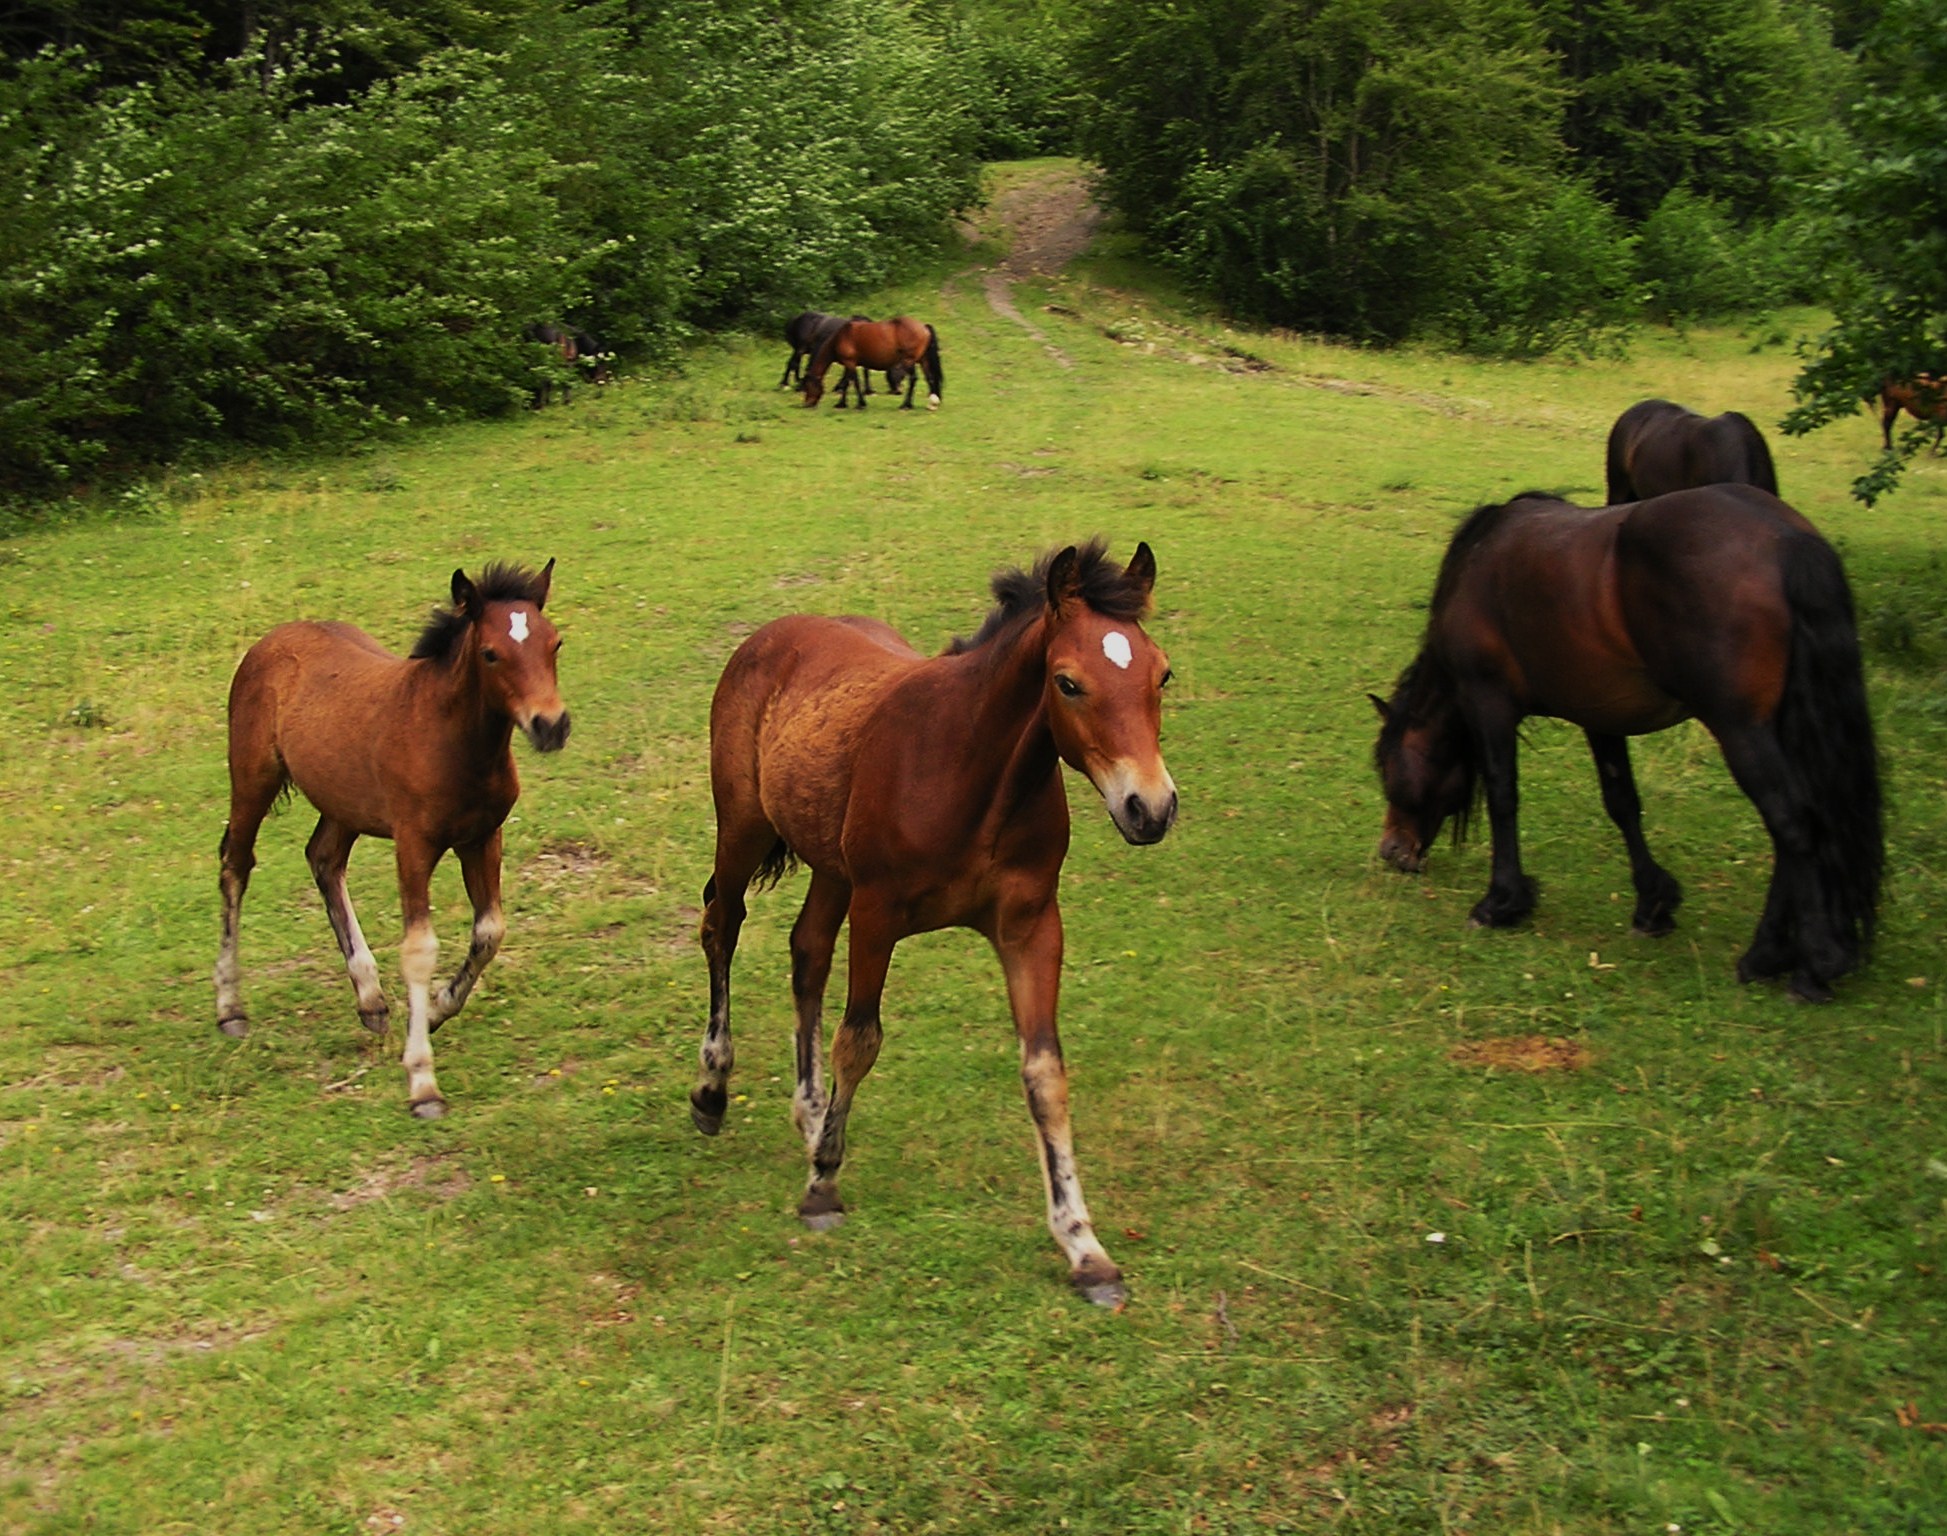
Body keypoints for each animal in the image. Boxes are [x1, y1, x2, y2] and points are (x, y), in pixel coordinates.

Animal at [215, 562, 571, 1116]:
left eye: (555, 643)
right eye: (491, 654)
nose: (551, 725)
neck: (453, 742)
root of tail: (271, 639)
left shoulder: (482, 837)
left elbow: (490, 930)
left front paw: (439, 1009)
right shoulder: (414, 845)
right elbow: (419, 948)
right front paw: (423, 1082)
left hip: (344, 802)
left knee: (323, 858)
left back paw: (371, 999)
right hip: (253, 778)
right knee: (235, 863)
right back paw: (231, 1008)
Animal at [692, 541, 1177, 1304]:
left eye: (1162, 674)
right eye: (1067, 683)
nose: (1149, 809)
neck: (973, 776)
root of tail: (772, 634)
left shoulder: (1031, 925)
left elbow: (1045, 1072)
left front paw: (1084, 1246)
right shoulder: (877, 912)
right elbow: (858, 1041)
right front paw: (823, 1188)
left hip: (830, 867)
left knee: (806, 952)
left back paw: (810, 1114)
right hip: (743, 828)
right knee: (722, 926)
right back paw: (713, 1092)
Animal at [802, 316, 941, 410]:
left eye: (808, 386)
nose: (807, 404)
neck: (841, 336)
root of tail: (924, 326)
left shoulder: (850, 363)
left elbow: (854, 382)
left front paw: (860, 403)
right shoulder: (849, 364)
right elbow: (846, 383)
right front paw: (842, 403)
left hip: (909, 361)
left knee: (913, 379)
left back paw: (906, 405)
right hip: (923, 360)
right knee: (930, 378)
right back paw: (932, 404)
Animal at [1371, 487, 1880, 1002]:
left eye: (1387, 768)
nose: (1392, 850)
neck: (1480, 562)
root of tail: (1787, 540)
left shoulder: (1488, 701)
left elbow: (1503, 797)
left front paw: (1501, 902)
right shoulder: (1600, 715)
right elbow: (1621, 802)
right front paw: (1653, 904)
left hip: (1743, 732)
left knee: (1793, 826)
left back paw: (1809, 964)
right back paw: (1771, 955)